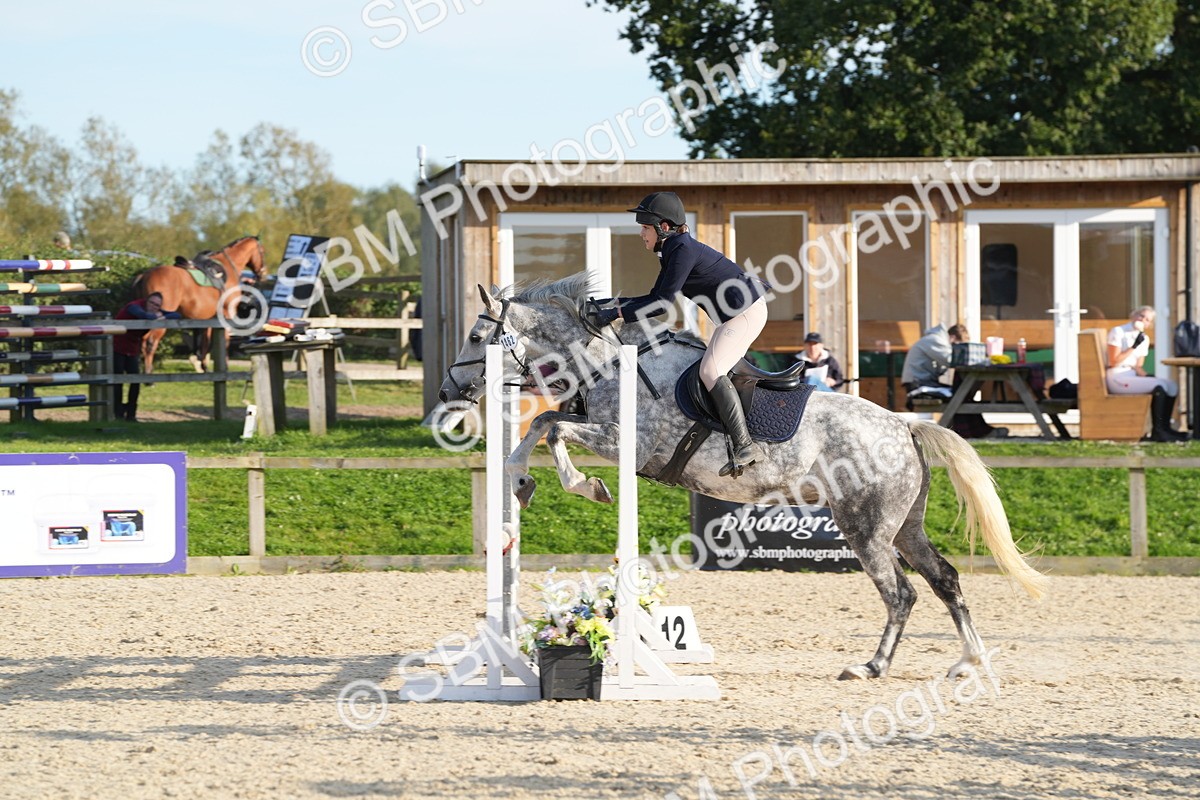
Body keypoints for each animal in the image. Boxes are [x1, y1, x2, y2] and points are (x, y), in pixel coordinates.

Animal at [132, 235, 267, 372]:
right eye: (262, 251)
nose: (263, 273)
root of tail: (144, 275)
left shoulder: (209, 320)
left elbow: (205, 344)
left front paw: (204, 366)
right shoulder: (225, 317)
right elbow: (222, 343)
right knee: (150, 342)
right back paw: (148, 372)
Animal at [438, 272, 1047, 681]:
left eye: (476, 338)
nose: (448, 390)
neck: (604, 361)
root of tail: (905, 424)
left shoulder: (626, 443)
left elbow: (553, 427)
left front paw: (578, 485)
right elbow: (545, 423)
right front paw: (526, 483)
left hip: (866, 527)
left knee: (901, 594)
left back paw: (871, 666)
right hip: (906, 525)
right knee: (945, 580)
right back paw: (968, 662)